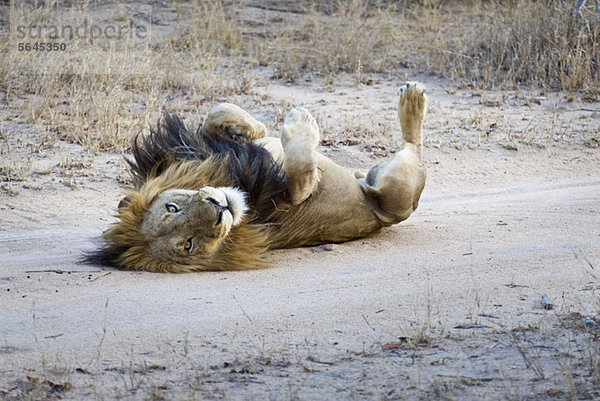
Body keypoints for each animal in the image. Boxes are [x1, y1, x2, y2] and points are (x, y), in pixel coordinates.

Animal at [86, 81, 428, 272]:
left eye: (172, 208)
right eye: (188, 245)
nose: (218, 210)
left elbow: (219, 112)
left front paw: (251, 128)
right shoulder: (289, 198)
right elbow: (301, 174)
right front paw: (300, 123)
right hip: (397, 190)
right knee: (413, 150)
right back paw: (412, 102)